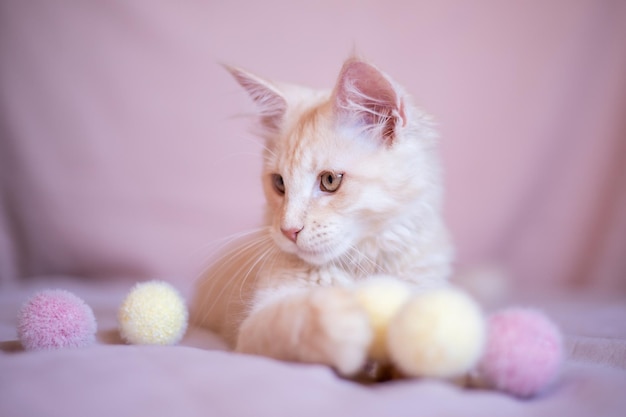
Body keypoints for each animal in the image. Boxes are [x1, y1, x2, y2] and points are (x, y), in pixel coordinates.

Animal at [193, 57, 450, 376]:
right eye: (279, 183)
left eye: (329, 181)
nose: (288, 230)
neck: (362, 264)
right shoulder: (252, 327)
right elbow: (291, 320)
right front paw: (346, 324)